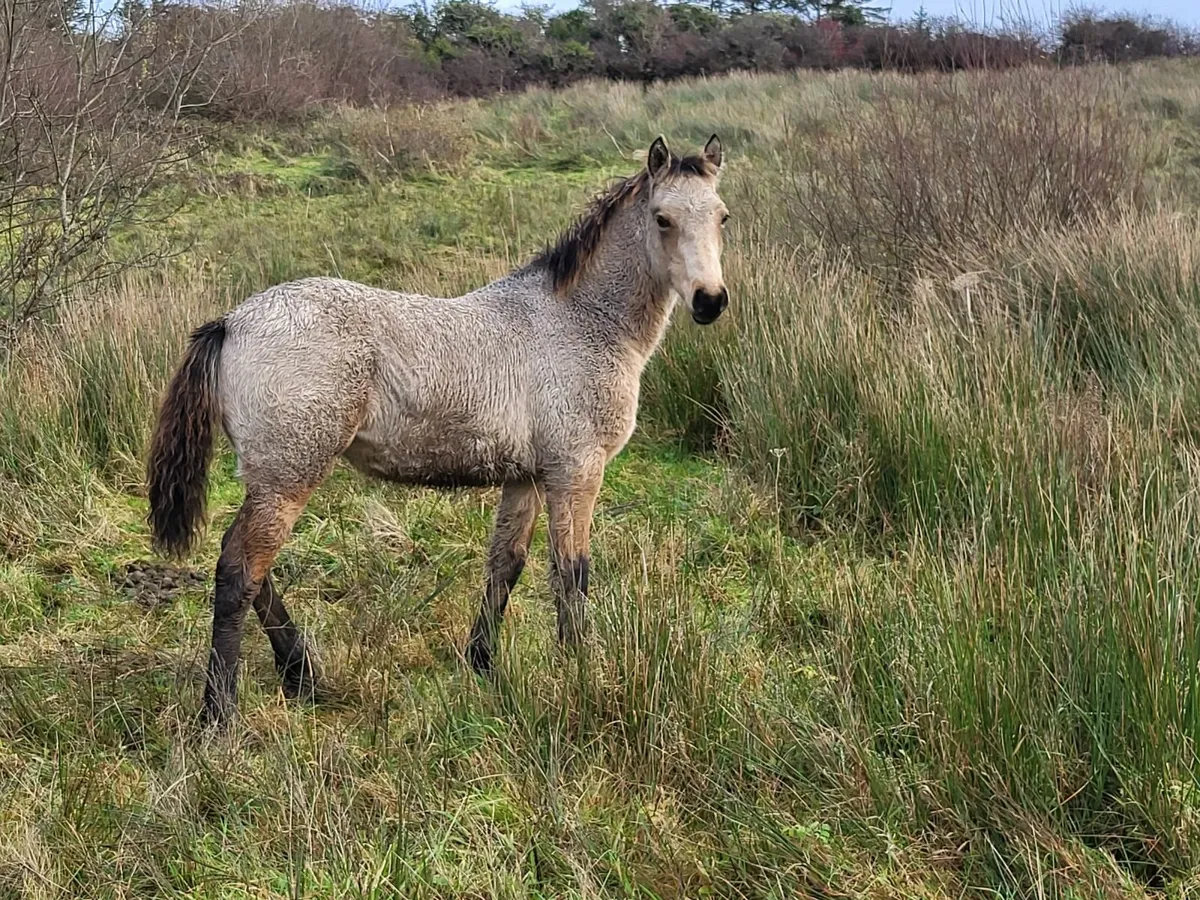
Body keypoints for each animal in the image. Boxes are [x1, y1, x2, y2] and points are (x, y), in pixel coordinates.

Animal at [146, 134, 731, 727]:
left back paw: (303, 675)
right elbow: (571, 573)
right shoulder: (576, 472)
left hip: (272, 474)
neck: (579, 322)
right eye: (662, 218)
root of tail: (232, 322)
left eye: (722, 216)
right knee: (240, 569)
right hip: (292, 471)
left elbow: (506, 564)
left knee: (249, 564)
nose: (710, 300)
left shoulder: (527, 476)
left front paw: (482, 663)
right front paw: (581, 672)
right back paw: (220, 712)